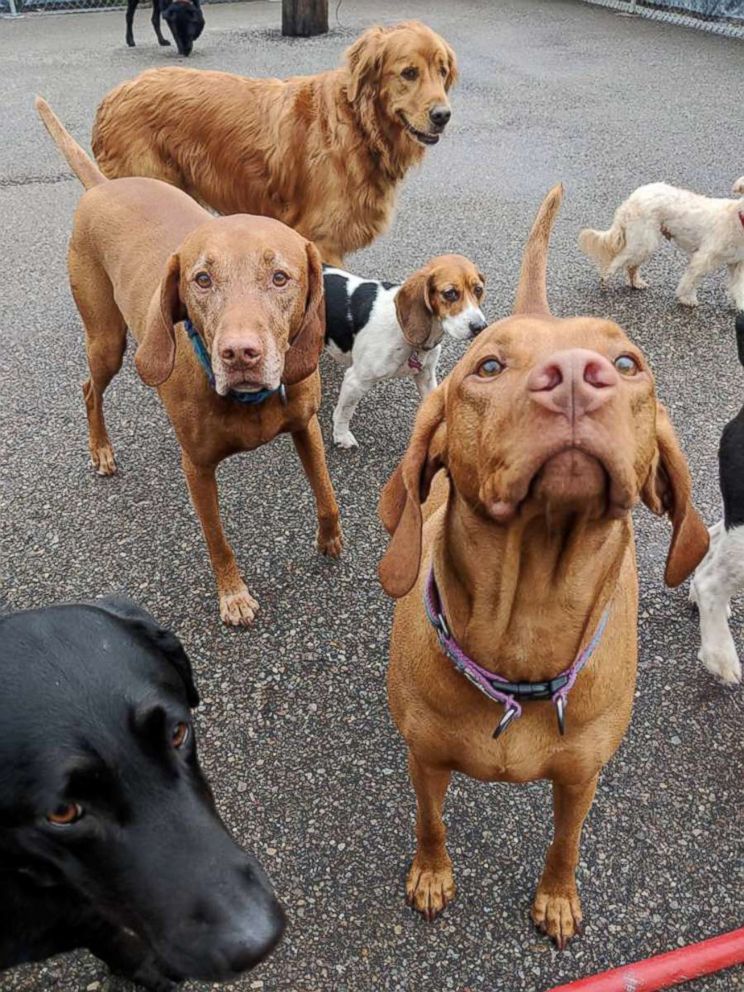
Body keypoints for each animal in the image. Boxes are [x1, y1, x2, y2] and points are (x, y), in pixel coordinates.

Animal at [37, 101, 342, 628]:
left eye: (280, 277)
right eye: (202, 279)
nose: (240, 354)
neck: (249, 402)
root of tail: (101, 186)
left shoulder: (306, 425)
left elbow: (325, 493)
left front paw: (332, 540)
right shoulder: (197, 468)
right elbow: (218, 541)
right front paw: (233, 595)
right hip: (107, 340)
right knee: (89, 388)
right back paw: (102, 450)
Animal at [378, 184, 708, 944]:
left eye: (627, 363)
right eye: (489, 367)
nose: (577, 379)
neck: (522, 631)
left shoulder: (581, 776)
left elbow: (566, 842)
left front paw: (556, 897)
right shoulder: (425, 759)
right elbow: (430, 823)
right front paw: (431, 876)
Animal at [580, 181, 744, 306]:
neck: (737, 218)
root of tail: (633, 197)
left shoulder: (738, 264)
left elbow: (739, 288)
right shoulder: (703, 258)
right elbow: (690, 281)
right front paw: (687, 298)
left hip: (643, 243)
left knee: (631, 265)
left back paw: (636, 282)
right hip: (644, 241)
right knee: (619, 259)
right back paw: (605, 277)